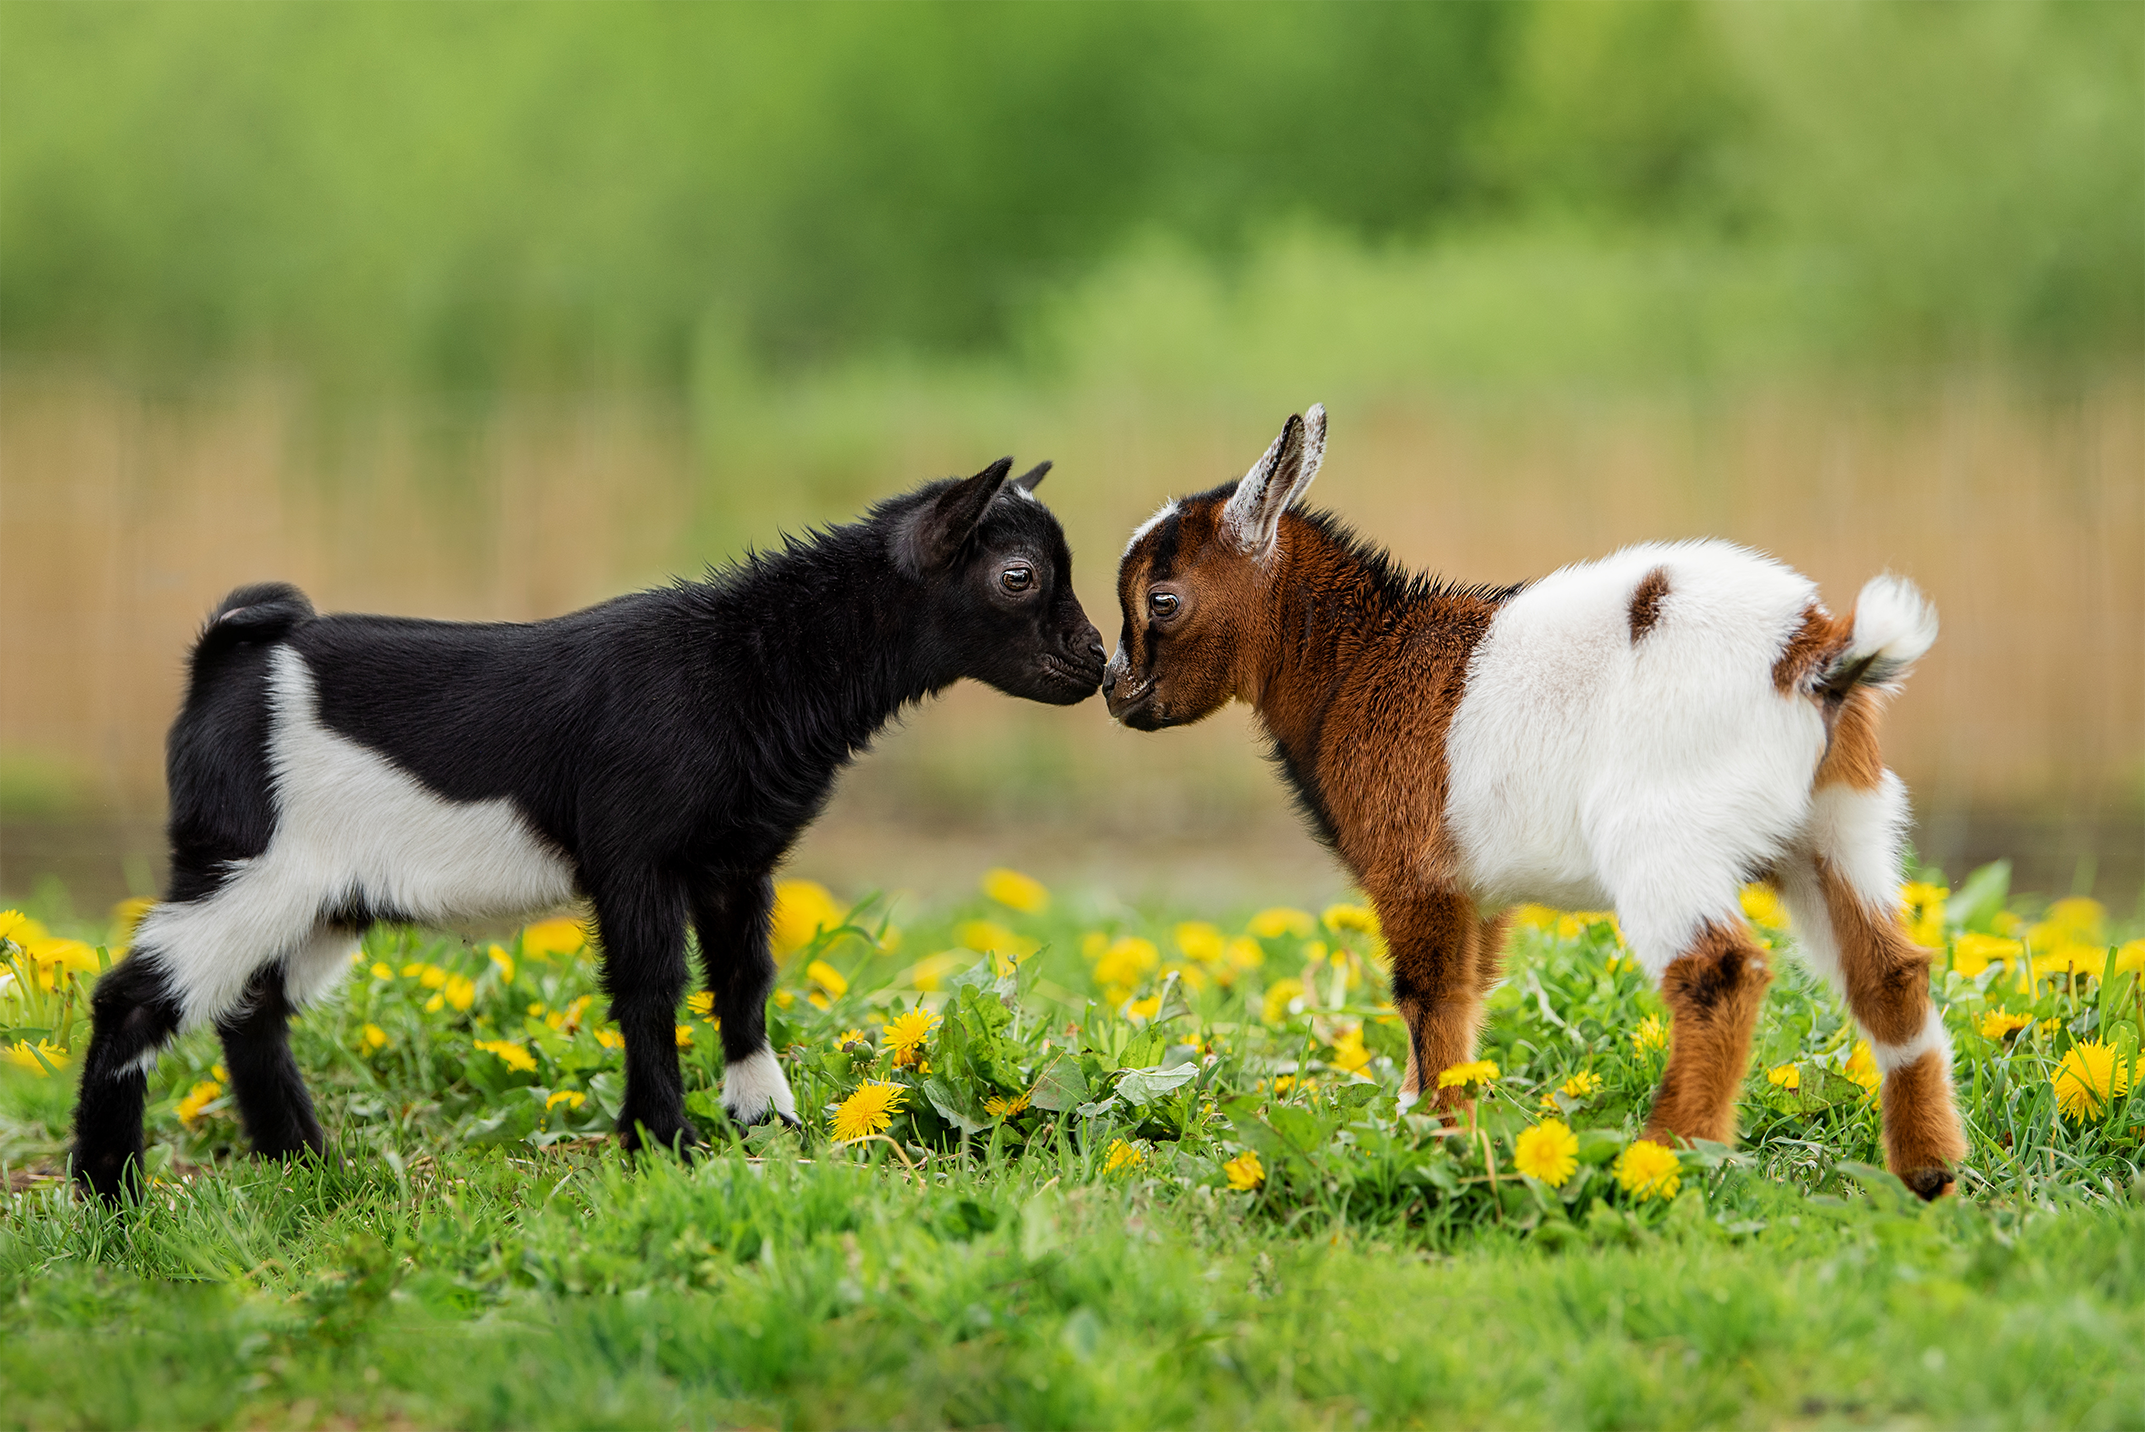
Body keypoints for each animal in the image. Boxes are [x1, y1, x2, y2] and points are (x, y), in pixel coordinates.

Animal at [74, 459, 1105, 1203]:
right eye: (1018, 577)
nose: (1096, 660)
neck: (745, 667)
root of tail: (225, 661)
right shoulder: (635, 853)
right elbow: (651, 987)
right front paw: (663, 1139)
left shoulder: (736, 860)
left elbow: (744, 977)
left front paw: (761, 1115)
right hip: (250, 862)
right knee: (135, 996)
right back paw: (110, 1195)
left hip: (321, 897)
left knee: (251, 1009)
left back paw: (303, 1163)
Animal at [1104, 406, 1966, 1199]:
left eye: (1162, 600)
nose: (1115, 691)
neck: (1360, 662)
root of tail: (1811, 653)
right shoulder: (1474, 888)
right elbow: (1462, 1000)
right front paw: (1426, 1127)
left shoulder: (1413, 871)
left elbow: (1427, 999)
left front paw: (1441, 1144)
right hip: (1841, 821)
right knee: (1889, 970)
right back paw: (1927, 1176)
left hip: (1663, 831)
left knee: (1718, 971)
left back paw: (1663, 1159)